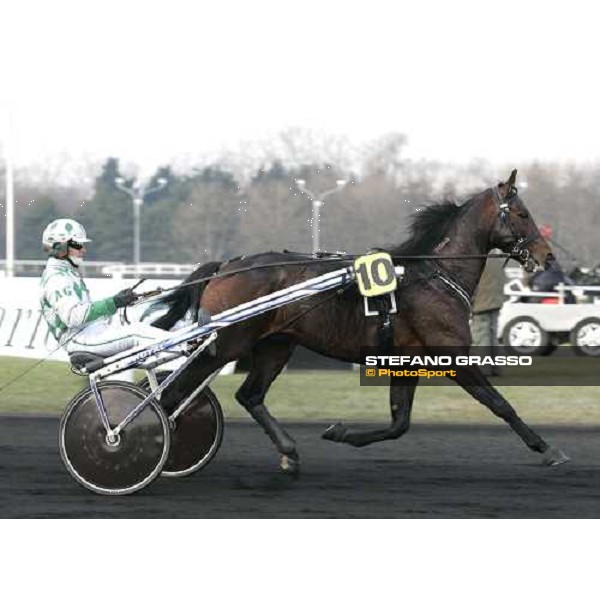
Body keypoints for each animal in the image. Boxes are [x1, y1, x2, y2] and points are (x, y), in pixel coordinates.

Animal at [155, 169, 568, 474]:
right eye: (522, 214)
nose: (547, 256)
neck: (434, 275)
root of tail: (227, 265)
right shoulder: (450, 354)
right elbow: (498, 403)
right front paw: (548, 449)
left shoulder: (409, 361)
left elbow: (400, 423)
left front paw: (341, 433)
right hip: (227, 343)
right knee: (173, 393)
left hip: (275, 344)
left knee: (250, 395)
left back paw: (289, 451)